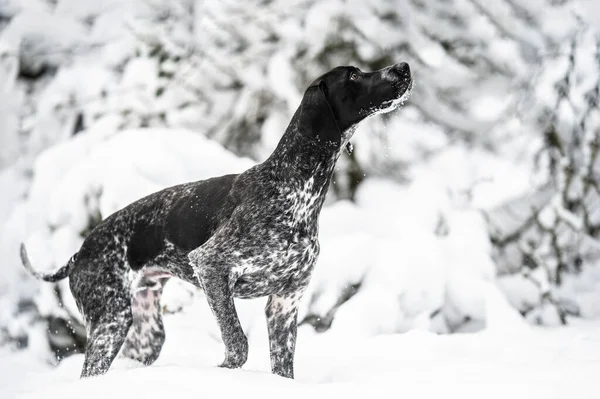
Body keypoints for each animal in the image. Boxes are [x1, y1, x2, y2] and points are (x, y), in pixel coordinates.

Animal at [18, 61, 412, 378]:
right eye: (354, 75)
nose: (403, 66)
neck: (296, 189)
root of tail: (78, 254)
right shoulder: (212, 266)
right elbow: (238, 344)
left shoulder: (285, 302)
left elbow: (283, 366)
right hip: (110, 321)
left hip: (144, 334)